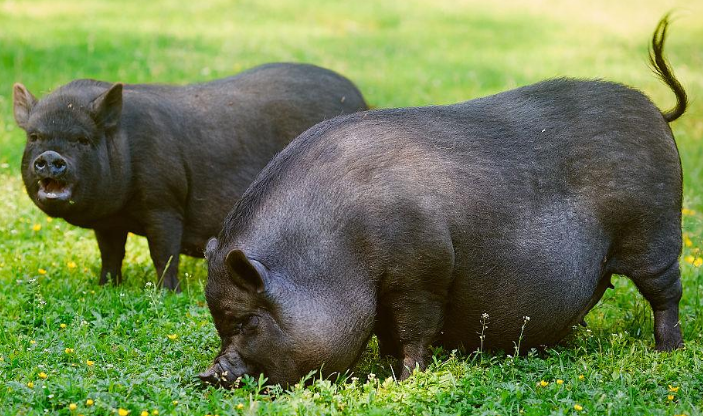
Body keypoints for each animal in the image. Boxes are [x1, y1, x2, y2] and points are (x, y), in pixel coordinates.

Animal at [12, 62, 368, 290]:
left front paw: (166, 292)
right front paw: (105, 287)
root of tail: (359, 95)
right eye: (34, 137)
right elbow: (111, 253)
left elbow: (164, 252)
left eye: (82, 140)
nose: (51, 157)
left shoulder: (164, 202)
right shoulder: (109, 222)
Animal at [202, 16, 688, 386]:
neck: (341, 249)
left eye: (246, 321)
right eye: (220, 323)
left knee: (666, 294)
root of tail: (656, 111)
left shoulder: (423, 272)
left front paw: (404, 380)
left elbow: (414, 329)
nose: (210, 374)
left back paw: (667, 351)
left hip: (655, 233)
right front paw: (387, 367)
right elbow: (388, 332)